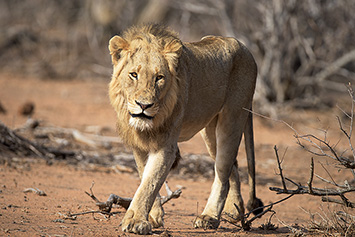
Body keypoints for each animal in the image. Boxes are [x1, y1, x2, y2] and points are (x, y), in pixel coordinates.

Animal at [109, 24, 264, 235]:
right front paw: (153, 216)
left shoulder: (166, 145)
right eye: (134, 74)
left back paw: (210, 217)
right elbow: (144, 177)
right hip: (210, 131)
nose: (144, 105)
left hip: (232, 117)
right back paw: (233, 212)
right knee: (232, 166)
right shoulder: (139, 144)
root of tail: (245, 48)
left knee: (222, 169)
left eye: (159, 78)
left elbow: (150, 182)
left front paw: (135, 221)